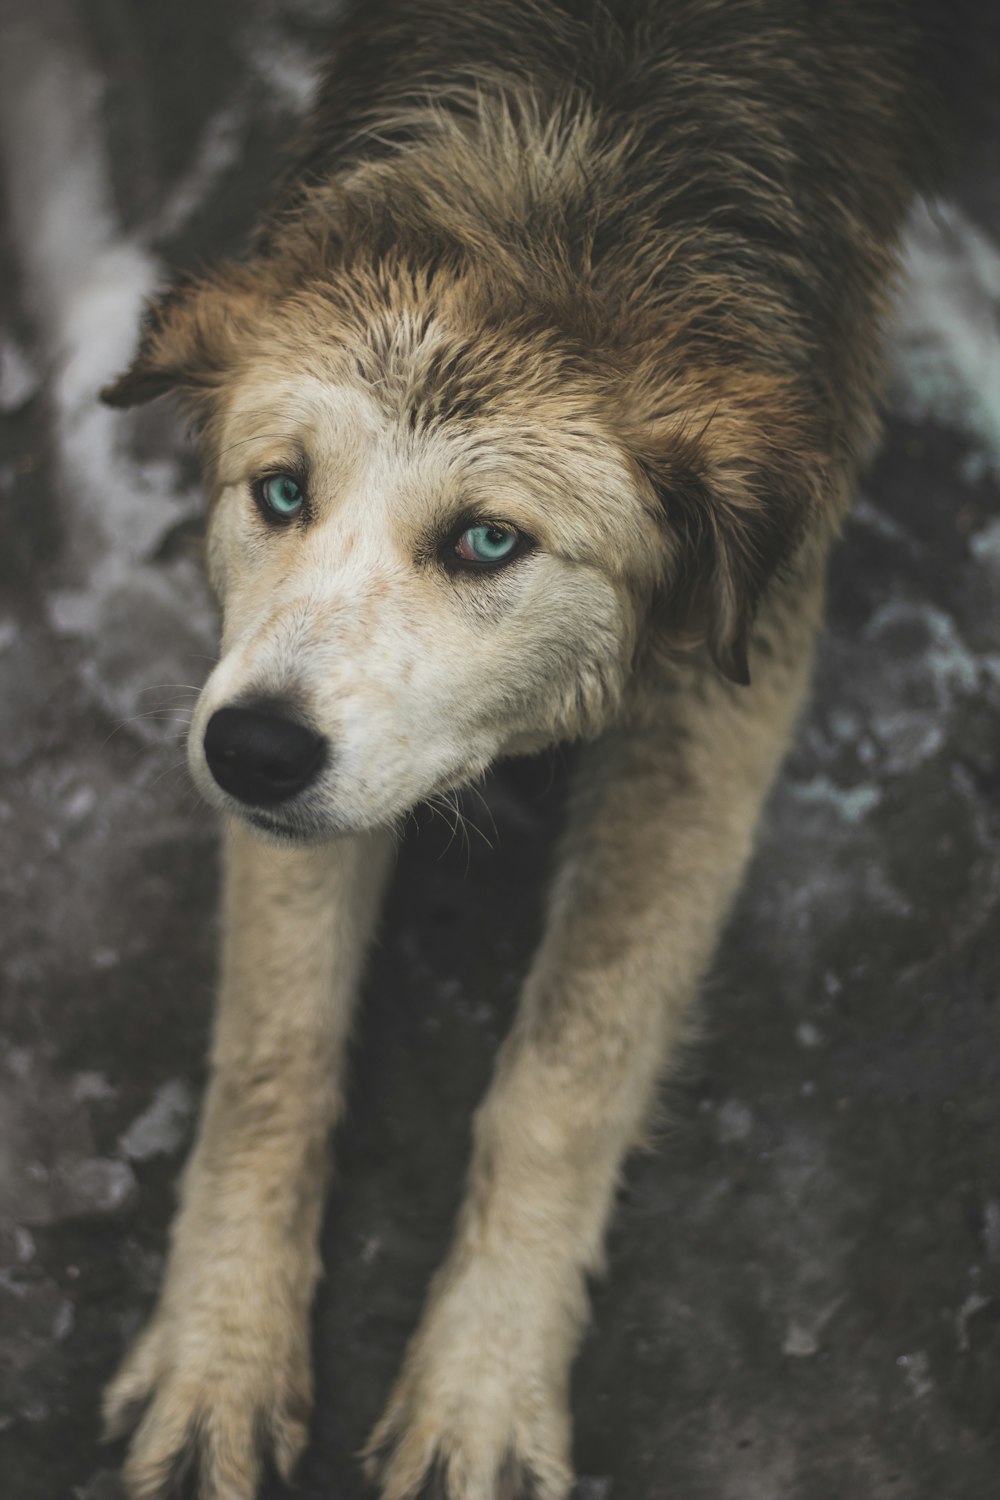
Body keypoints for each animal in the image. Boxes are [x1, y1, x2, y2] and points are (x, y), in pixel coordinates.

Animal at [97, 2, 989, 1500]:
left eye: (487, 540)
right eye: (279, 492)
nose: (252, 753)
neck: (569, 162)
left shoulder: (724, 693)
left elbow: (562, 1080)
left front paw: (483, 1386)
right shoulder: (256, 683)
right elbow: (275, 1054)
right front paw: (221, 1350)